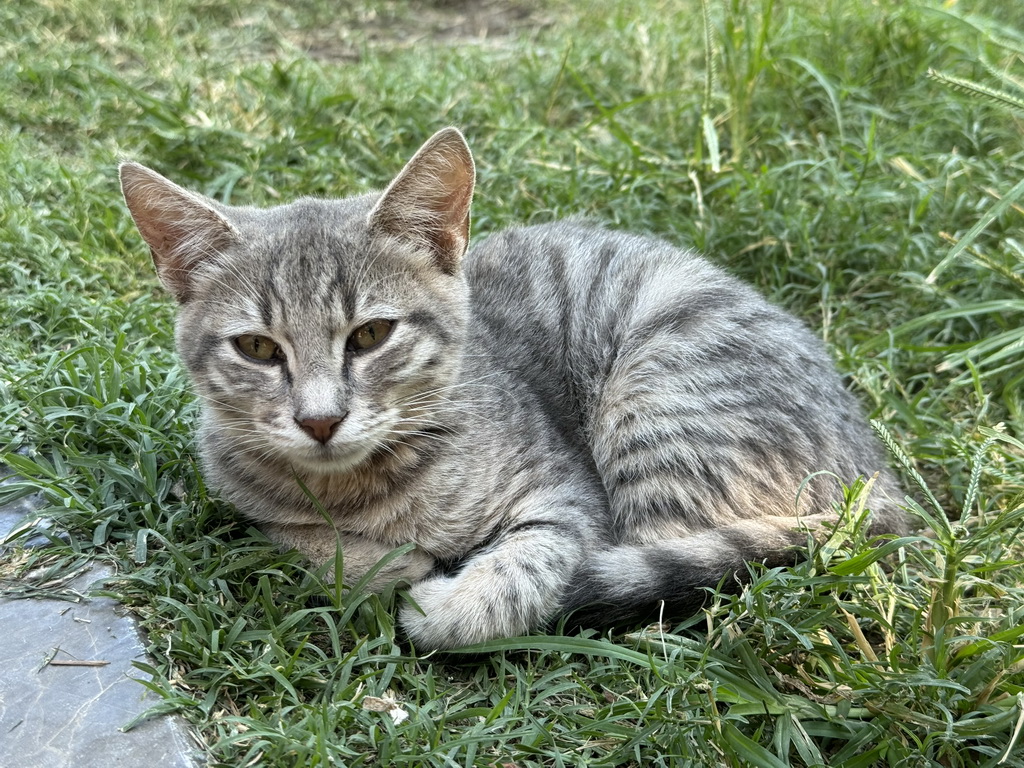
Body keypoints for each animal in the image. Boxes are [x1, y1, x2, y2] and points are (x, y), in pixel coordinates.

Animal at [117, 126, 905, 651]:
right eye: (257, 347)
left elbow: (532, 561)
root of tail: (877, 471)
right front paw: (373, 560)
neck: (366, 489)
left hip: (658, 401)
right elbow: (301, 536)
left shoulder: (567, 492)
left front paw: (447, 601)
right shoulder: (237, 492)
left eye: (370, 335)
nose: (320, 420)